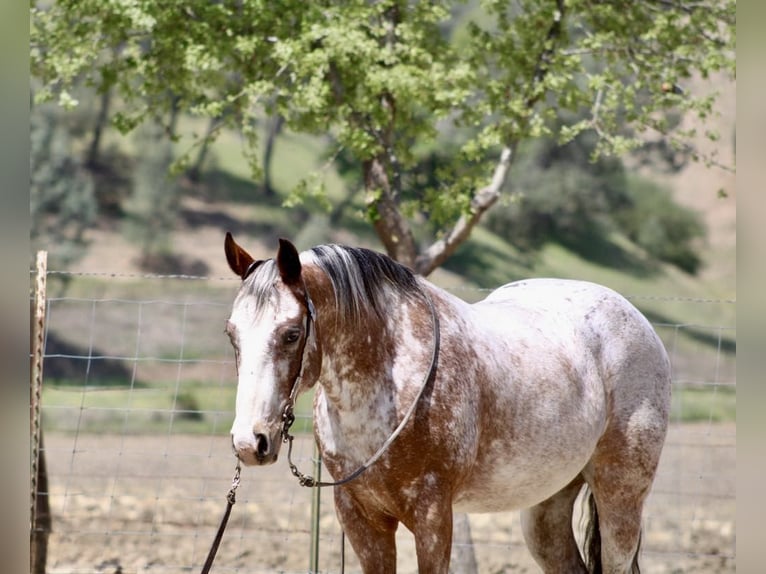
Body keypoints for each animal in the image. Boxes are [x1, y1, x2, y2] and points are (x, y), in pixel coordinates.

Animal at [223, 233, 671, 573]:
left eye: (292, 333)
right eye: (232, 334)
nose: (250, 442)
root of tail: (637, 320)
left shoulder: (433, 516)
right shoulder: (360, 517)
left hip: (621, 495)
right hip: (547, 507)